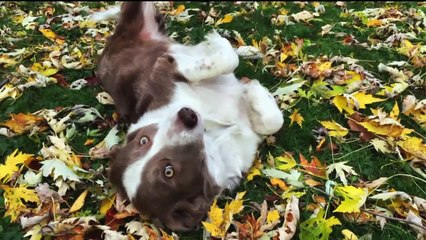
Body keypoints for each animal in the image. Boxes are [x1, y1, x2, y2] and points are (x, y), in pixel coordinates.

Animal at [92, 1, 284, 231]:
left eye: (144, 140)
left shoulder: (165, 71)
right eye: (168, 171)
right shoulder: (164, 67)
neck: (214, 136)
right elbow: (229, 60)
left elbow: (272, 121)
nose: (187, 115)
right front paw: (252, 89)